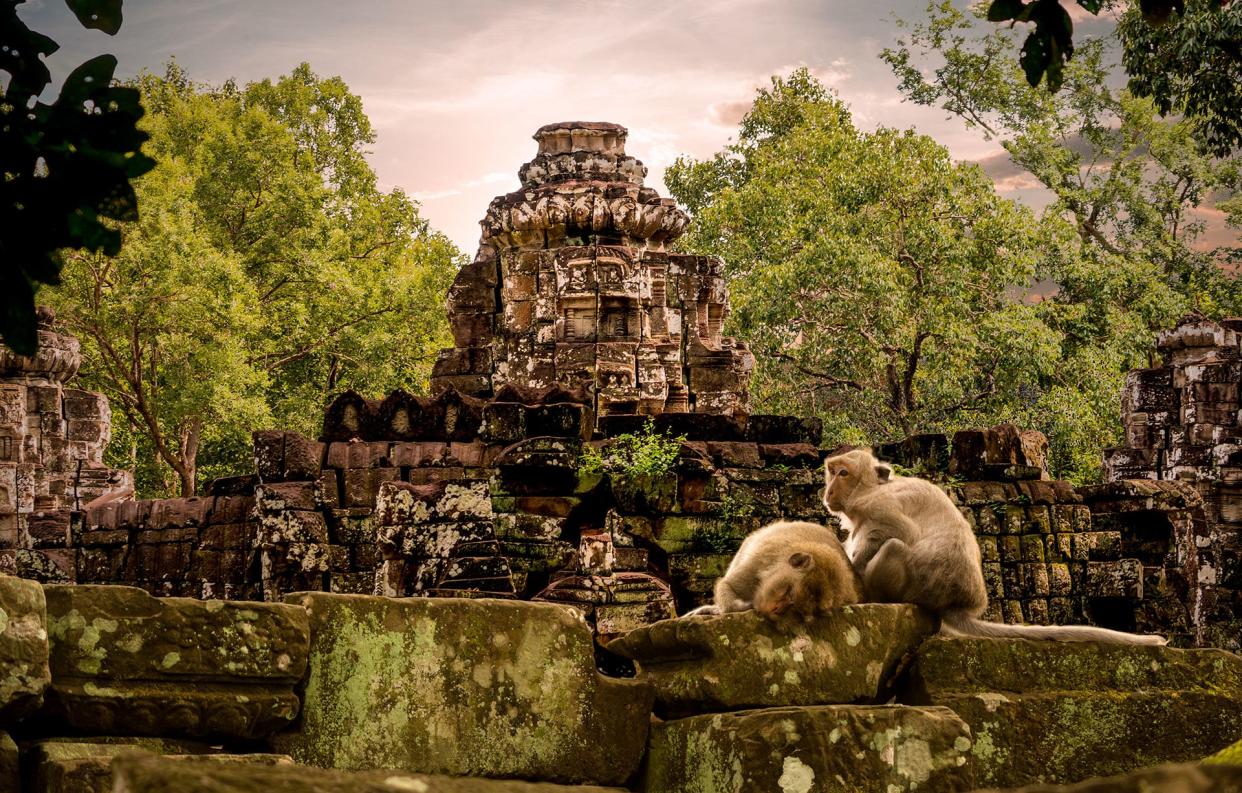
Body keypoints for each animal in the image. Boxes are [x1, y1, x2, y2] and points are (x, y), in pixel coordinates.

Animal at [680, 522, 864, 633]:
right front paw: (732, 607)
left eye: (798, 610)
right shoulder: (760, 561)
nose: (777, 609)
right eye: (788, 591)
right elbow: (727, 585)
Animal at [824, 447, 1162, 646]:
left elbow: (896, 531)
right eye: (831, 471)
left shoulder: (880, 505)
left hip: (913, 586)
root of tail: (954, 604)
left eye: (843, 473)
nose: (827, 491)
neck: (870, 489)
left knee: (894, 546)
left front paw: (854, 567)